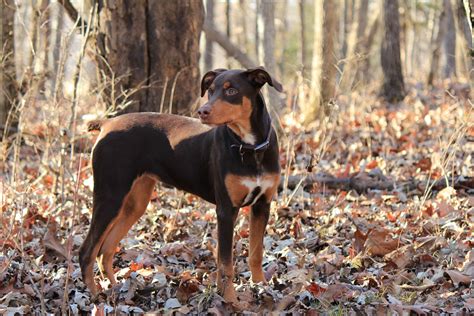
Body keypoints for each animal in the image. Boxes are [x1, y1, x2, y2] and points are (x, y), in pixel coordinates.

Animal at [79, 66, 284, 302]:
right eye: (210, 90)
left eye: (231, 90)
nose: (202, 111)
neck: (250, 148)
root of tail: (106, 124)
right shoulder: (226, 210)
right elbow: (226, 265)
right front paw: (231, 301)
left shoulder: (263, 205)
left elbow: (255, 253)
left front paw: (261, 287)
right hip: (110, 195)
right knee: (87, 251)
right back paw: (96, 295)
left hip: (135, 201)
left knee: (106, 249)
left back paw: (114, 289)